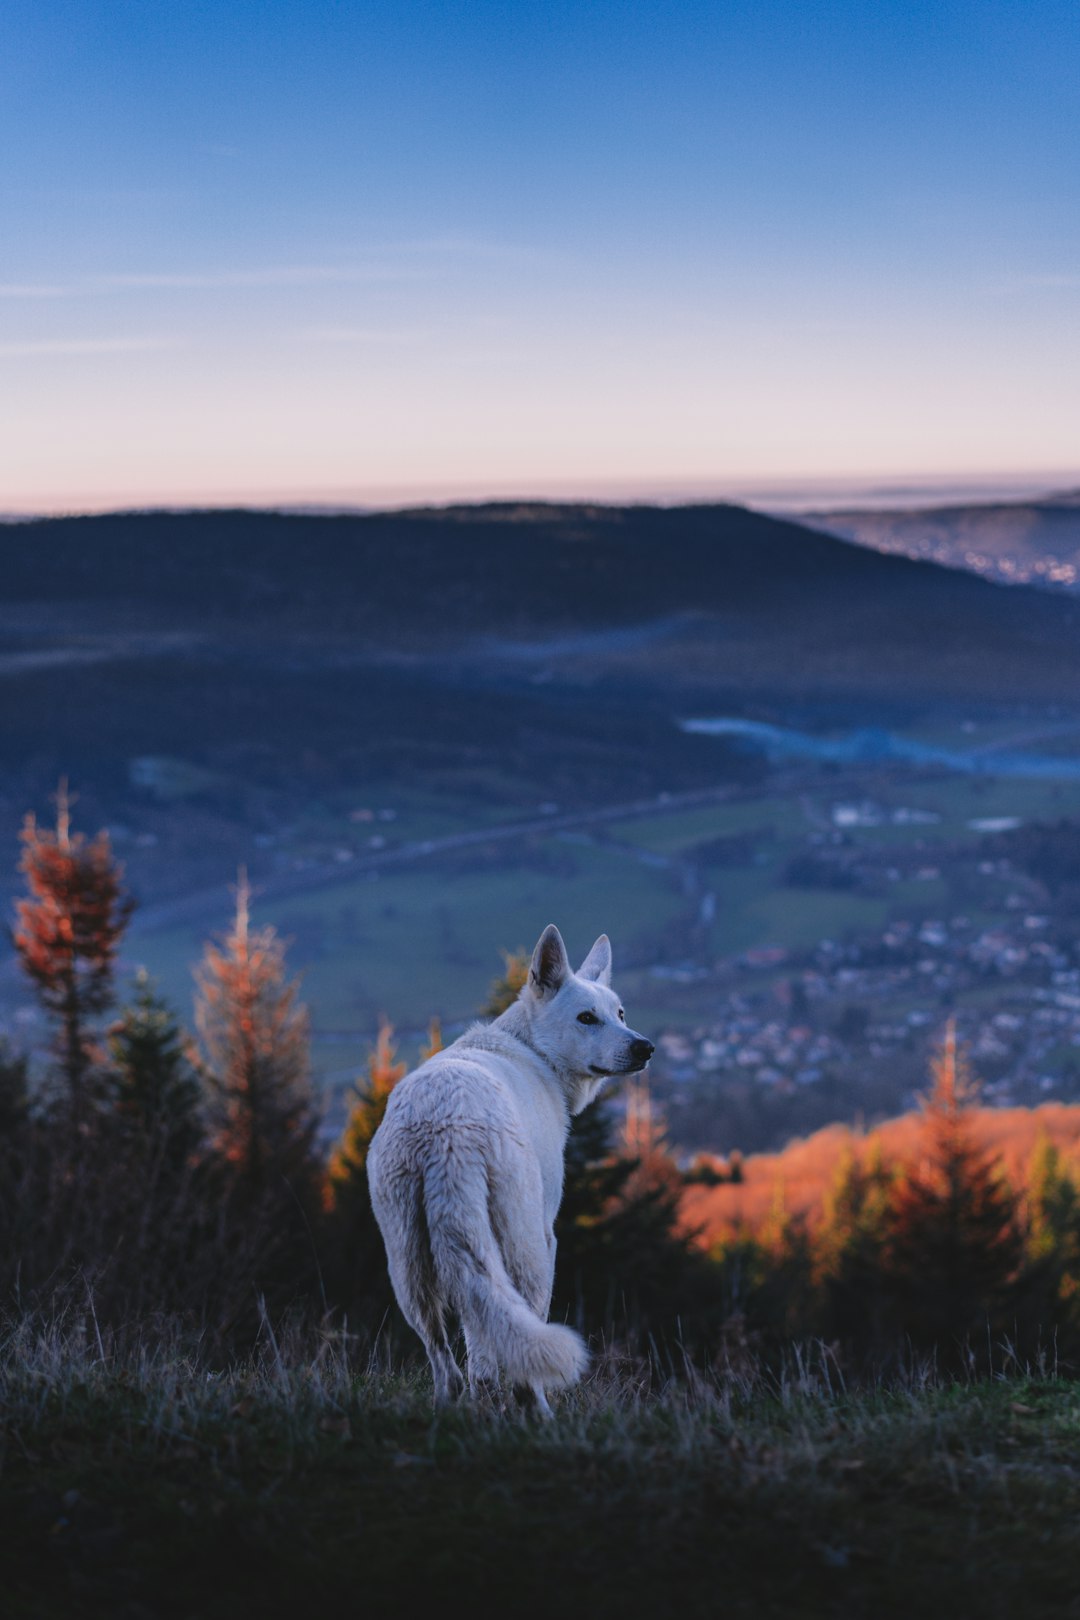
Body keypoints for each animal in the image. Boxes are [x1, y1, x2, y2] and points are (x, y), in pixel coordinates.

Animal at [372, 933, 654, 1412]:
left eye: (619, 1014)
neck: (532, 1049)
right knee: (523, 1345)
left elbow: (477, 1345)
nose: (644, 1048)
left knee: (450, 1359)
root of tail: (442, 1128)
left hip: (408, 1263)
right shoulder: (545, 1232)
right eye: (586, 1018)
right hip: (527, 1248)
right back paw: (537, 1410)